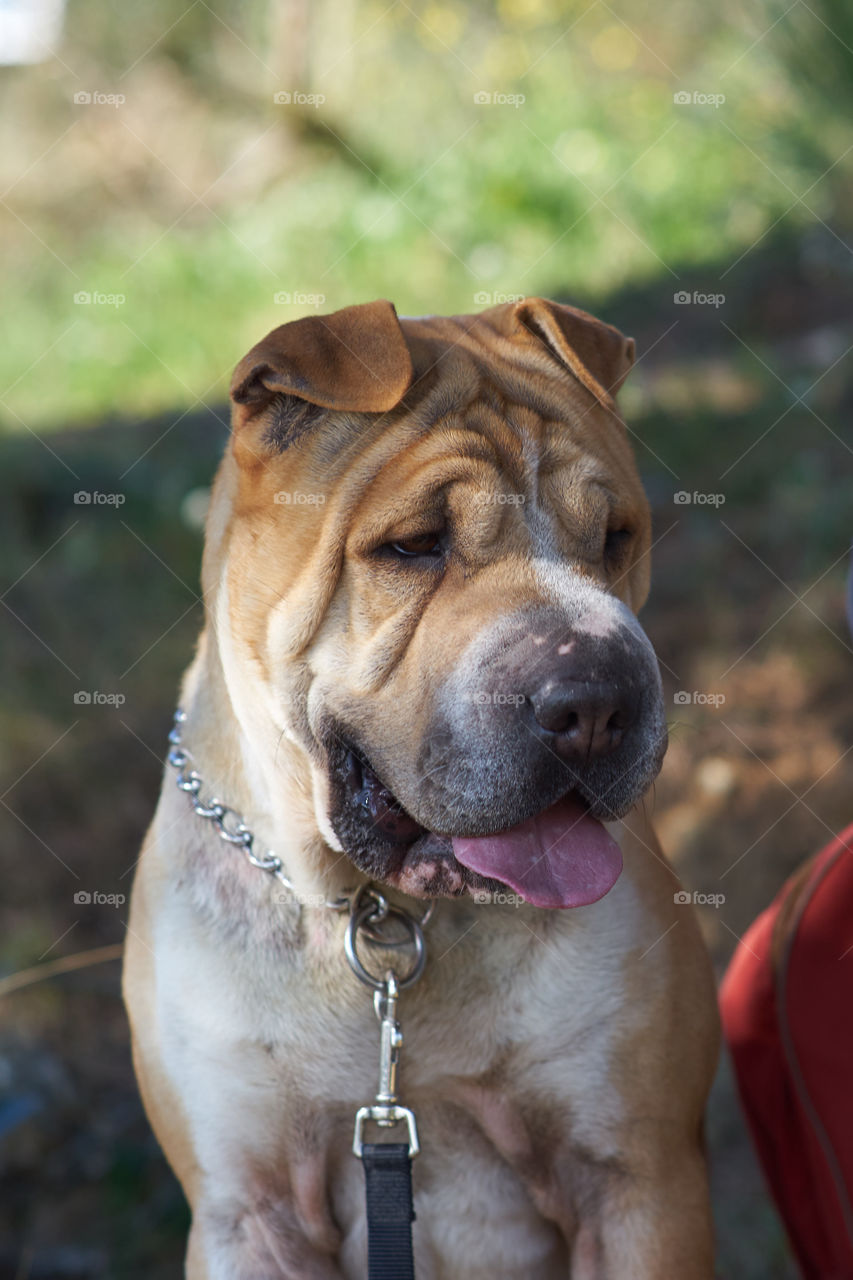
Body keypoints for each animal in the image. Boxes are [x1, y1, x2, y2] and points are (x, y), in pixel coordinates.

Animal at [121, 294, 717, 1274]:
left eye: (614, 538)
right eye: (412, 545)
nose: (596, 700)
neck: (385, 914)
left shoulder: (638, 1177)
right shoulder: (248, 1213)